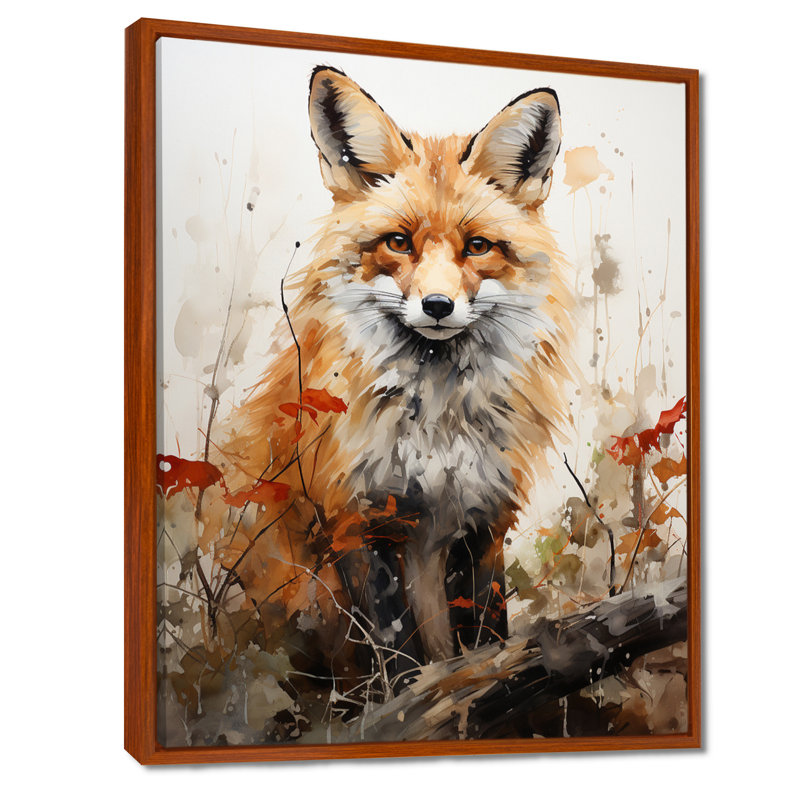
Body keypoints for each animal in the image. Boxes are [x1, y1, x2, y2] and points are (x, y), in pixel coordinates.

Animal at [203, 66, 574, 687]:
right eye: (399, 242)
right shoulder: (357, 519)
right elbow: (395, 652)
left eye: (477, 246)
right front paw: (406, 702)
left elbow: (486, 637)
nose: (438, 305)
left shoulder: (484, 520)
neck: (436, 425)